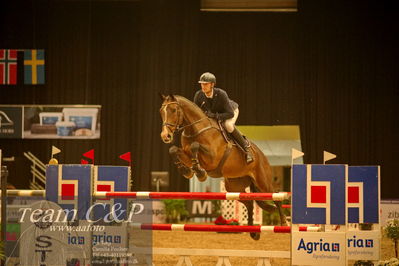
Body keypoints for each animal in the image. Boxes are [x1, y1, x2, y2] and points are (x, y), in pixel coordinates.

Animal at [159, 94, 288, 240]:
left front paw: (200, 172)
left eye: (174, 110)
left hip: (263, 182)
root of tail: (261, 155)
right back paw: (253, 231)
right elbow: (174, 150)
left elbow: (195, 146)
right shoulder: (185, 154)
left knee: (276, 196)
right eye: (161, 111)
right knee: (249, 203)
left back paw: (284, 223)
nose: (165, 136)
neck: (195, 129)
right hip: (233, 186)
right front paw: (186, 170)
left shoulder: (212, 157)